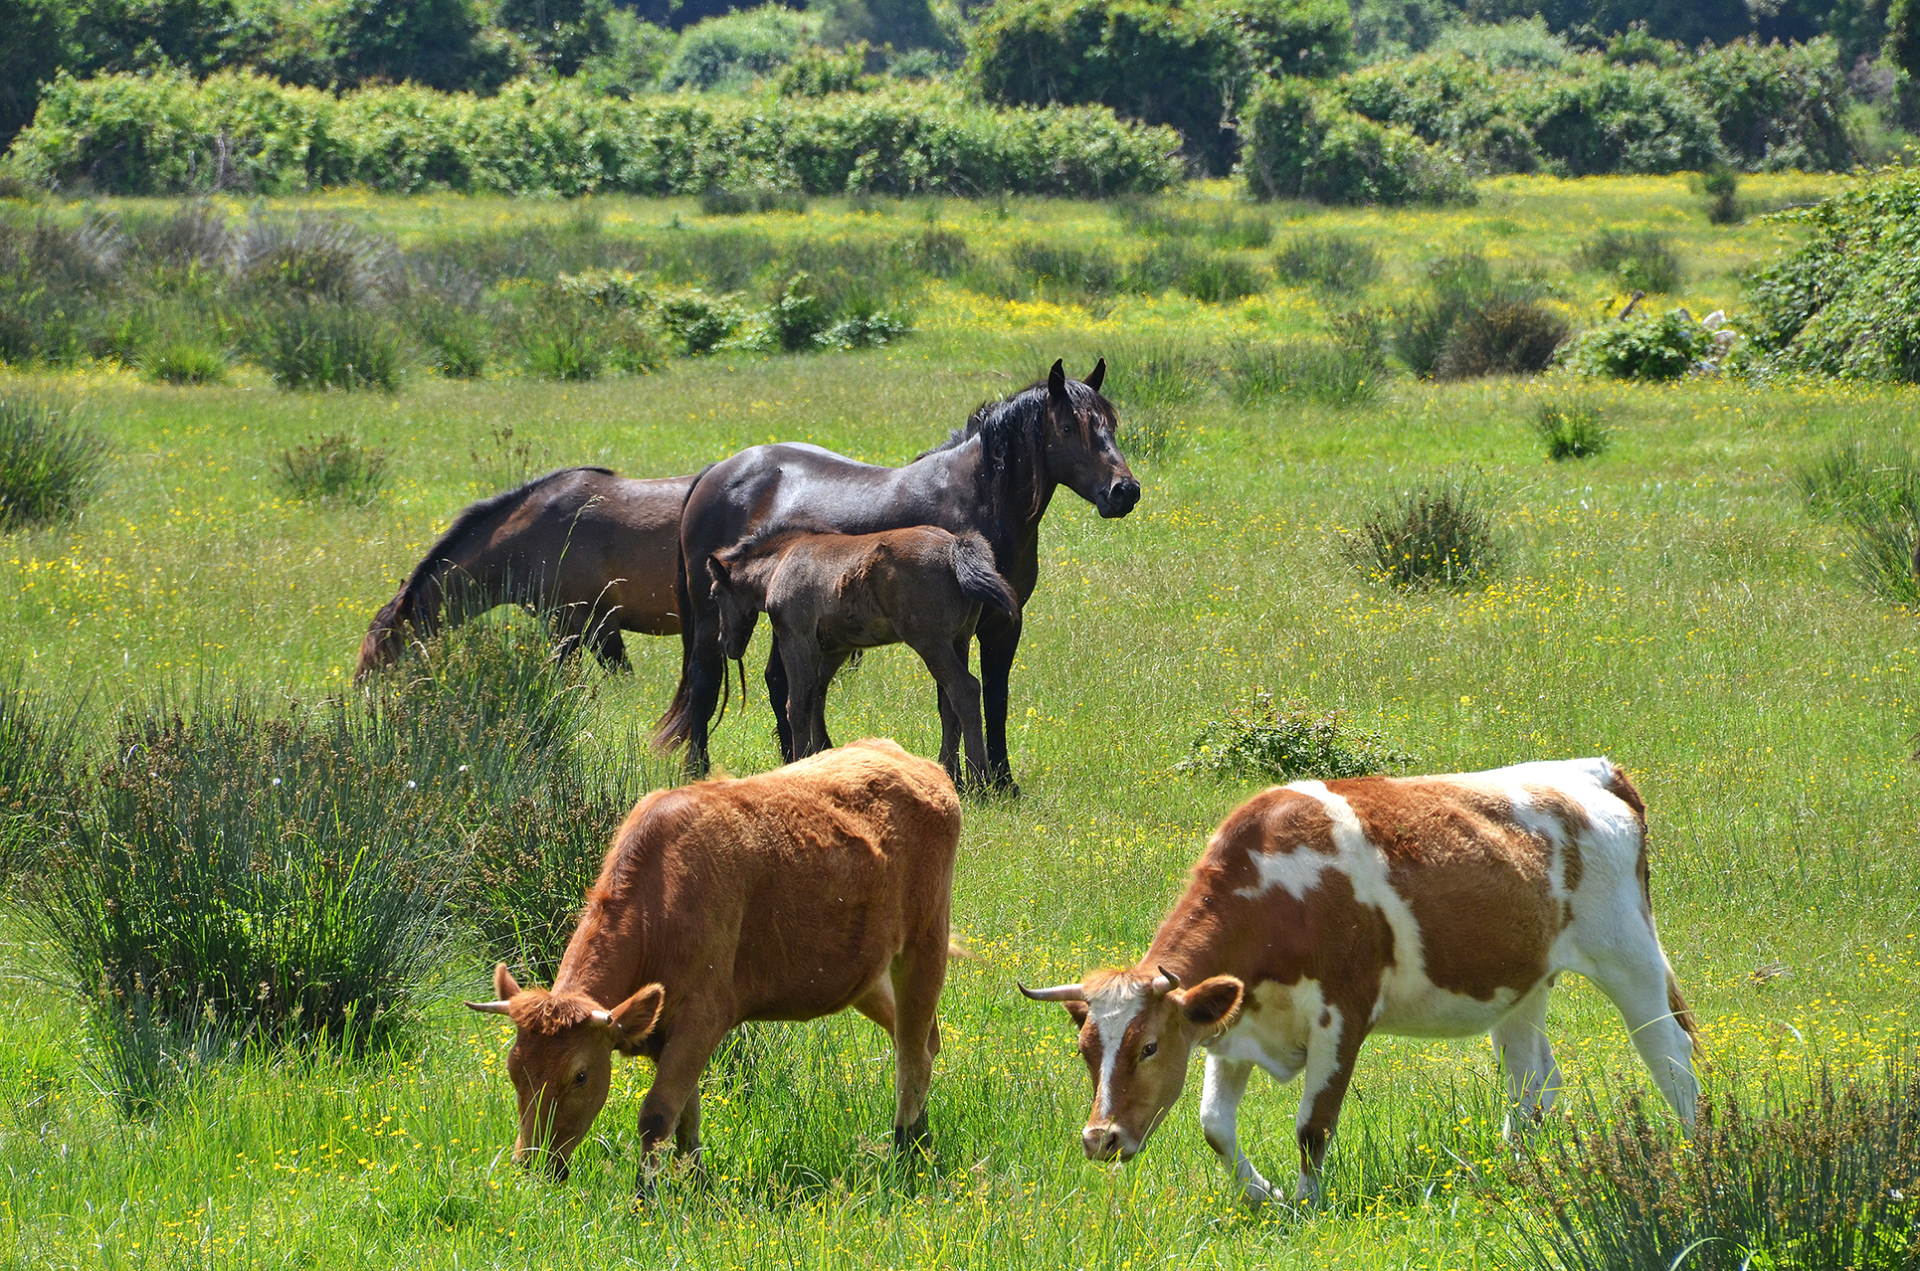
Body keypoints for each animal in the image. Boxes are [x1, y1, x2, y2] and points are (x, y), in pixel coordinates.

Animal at [464, 741, 960, 1190]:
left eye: (580, 1076)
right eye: (514, 1069)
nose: (532, 1166)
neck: (661, 899)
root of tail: (912, 761)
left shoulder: (703, 1016)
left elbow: (657, 1112)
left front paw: (646, 1198)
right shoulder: (664, 1030)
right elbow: (687, 1113)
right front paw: (698, 1183)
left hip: (925, 942)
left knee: (912, 1054)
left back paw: (904, 1150)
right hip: (867, 974)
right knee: (922, 1038)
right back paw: (922, 1138)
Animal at [710, 526, 1021, 787]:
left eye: (714, 594)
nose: (724, 643)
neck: (781, 563)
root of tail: (954, 545)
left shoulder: (796, 639)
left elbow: (797, 706)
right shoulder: (835, 648)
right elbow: (817, 700)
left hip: (931, 641)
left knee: (965, 690)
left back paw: (980, 781)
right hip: (959, 640)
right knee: (950, 703)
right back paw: (950, 775)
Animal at [1029, 760, 1704, 1213]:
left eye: (1148, 1047)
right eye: (1086, 1050)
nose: (1099, 1138)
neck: (1280, 893)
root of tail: (1594, 770)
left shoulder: (1341, 1015)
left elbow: (1312, 1126)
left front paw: (1307, 1207)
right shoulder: (1233, 1023)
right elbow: (1214, 1125)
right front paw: (1266, 1195)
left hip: (1628, 956)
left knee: (1670, 1058)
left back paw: (1699, 1158)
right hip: (1523, 983)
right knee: (1533, 1080)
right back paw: (1519, 1172)